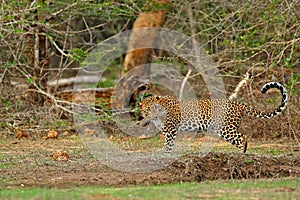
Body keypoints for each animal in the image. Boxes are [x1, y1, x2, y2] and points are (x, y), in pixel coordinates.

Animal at [138, 82, 288, 154]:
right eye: (147, 109)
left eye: (152, 108)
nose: (148, 115)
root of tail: (237, 103)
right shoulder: (166, 130)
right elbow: (167, 144)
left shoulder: (170, 130)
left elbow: (169, 144)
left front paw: (166, 154)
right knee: (241, 138)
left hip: (225, 128)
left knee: (242, 137)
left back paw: (240, 156)